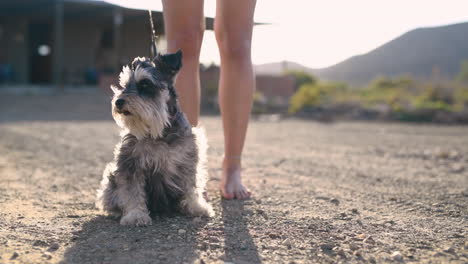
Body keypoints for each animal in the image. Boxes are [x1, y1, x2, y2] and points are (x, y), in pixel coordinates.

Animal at [96, 50, 213, 226]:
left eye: (145, 84)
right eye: (124, 85)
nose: (118, 102)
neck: (160, 132)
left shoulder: (188, 161)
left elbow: (191, 186)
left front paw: (197, 207)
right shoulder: (131, 164)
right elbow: (132, 191)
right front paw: (135, 214)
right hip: (111, 179)